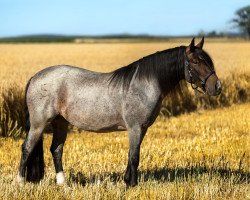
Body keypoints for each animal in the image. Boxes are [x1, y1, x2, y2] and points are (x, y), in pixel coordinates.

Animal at [16, 38, 222, 188]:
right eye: (195, 61)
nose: (217, 87)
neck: (144, 83)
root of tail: (35, 77)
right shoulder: (135, 127)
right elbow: (135, 155)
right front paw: (132, 184)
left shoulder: (141, 129)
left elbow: (133, 153)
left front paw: (128, 181)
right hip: (39, 124)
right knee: (27, 148)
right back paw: (20, 183)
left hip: (60, 123)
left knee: (56, 150)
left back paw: (62, 183)